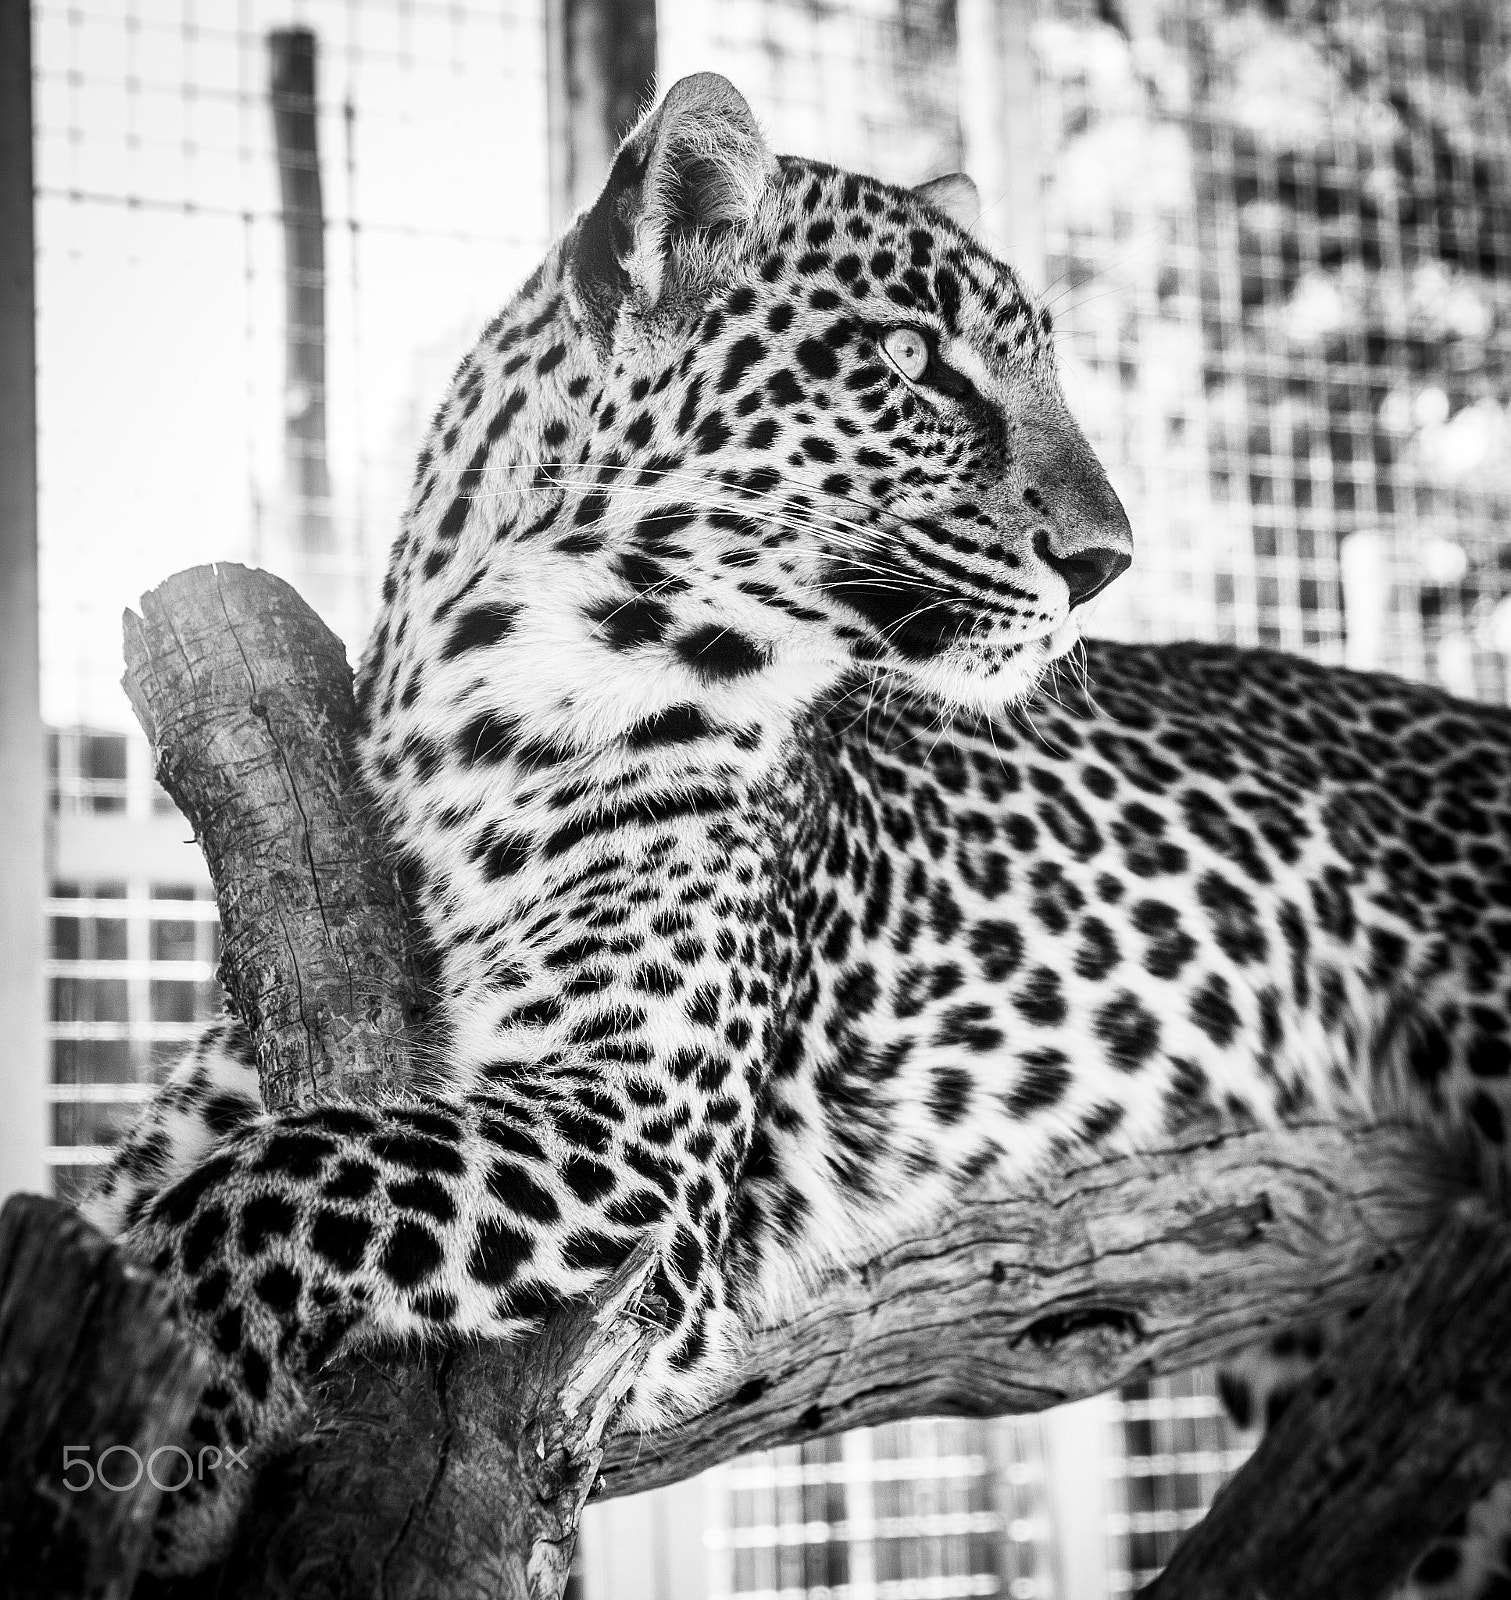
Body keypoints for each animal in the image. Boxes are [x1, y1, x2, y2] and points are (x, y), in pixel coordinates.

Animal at [80, 73, 1511, 1593]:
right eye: (910, 356)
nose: (1105, 561)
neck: (475, 701)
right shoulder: (238, 1091)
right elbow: (168, 1189)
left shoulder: (637, 1125)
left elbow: (278, 1184)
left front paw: (170, 1431)